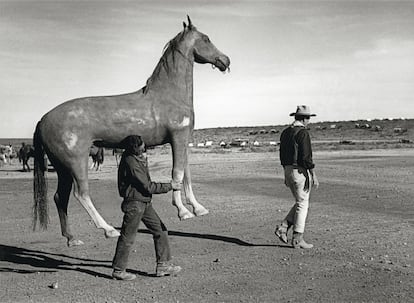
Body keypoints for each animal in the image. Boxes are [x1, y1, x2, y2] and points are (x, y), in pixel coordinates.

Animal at [33, 16, 230, 247]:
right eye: (206, 38)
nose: (225, 60)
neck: (169, 94)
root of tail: (43, 119)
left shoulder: (182, 142)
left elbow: (186, 174)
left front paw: (198, 208)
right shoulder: (177, 138)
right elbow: (177, 174)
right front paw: (183, 212)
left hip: (62, 168)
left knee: (60, 198)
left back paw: (72, 239)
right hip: (76, 163)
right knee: (81, 194)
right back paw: (108, 230)